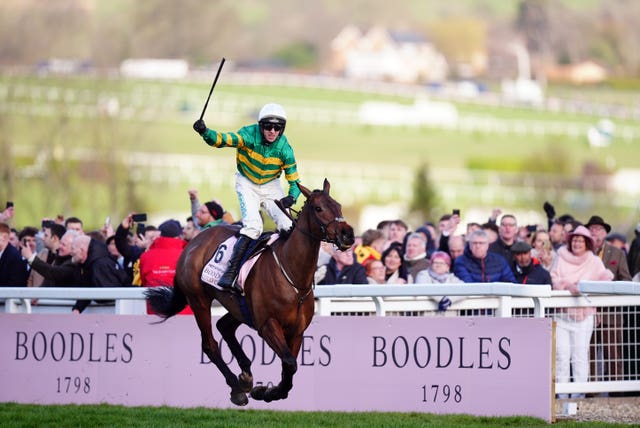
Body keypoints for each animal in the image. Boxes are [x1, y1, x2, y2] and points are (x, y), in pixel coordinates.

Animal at [146, 179, 356, 406]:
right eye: (319, 208)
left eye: (339, 206)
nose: (348, 234)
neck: (292, 273)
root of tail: (192, 242)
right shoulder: (267, 325)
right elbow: (290, 363)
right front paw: (267, 392)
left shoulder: (297, 330)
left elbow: (289, 368)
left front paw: (268, 391)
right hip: (199, 300)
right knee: (210, 344)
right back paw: (237, 388)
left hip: (239, 306)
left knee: (224, 326)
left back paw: (245, 375)